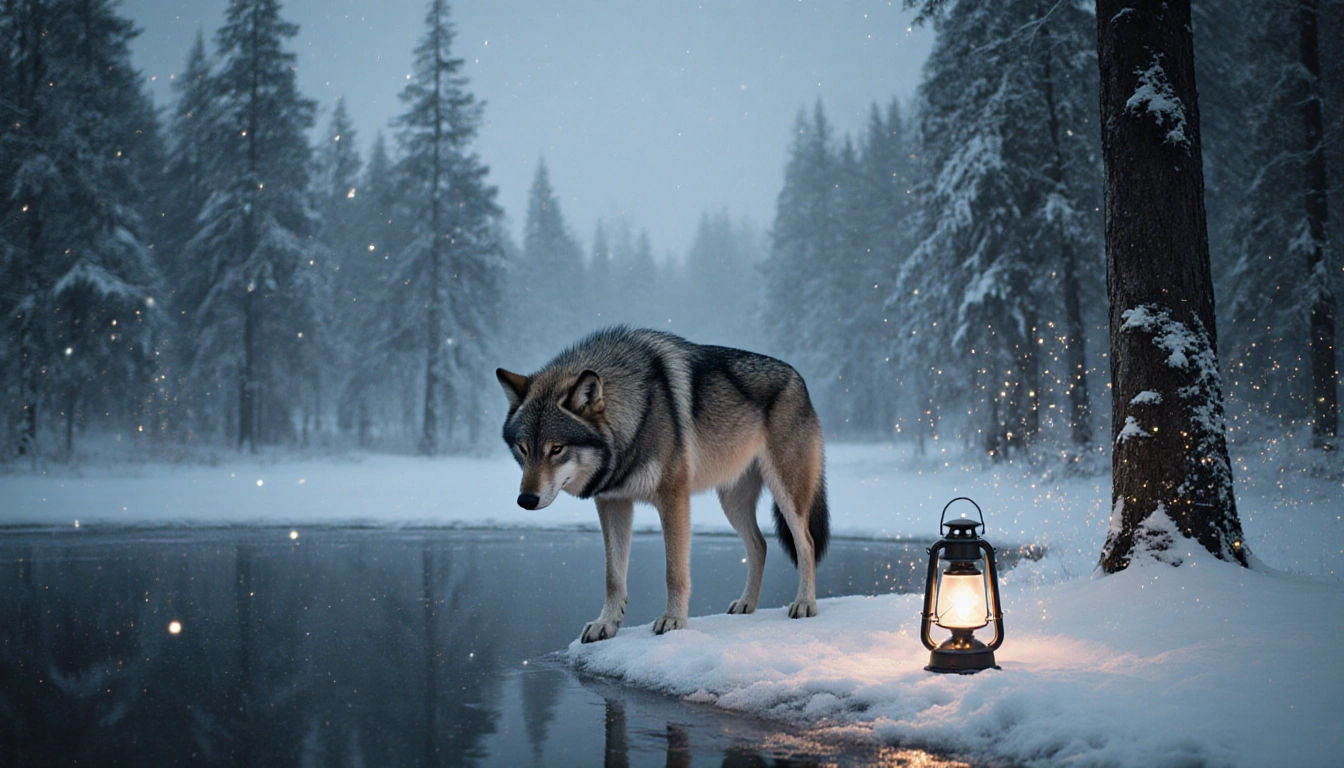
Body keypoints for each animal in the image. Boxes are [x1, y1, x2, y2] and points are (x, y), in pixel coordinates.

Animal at [496, 326, 829, 643]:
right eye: (523, 449)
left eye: (556, 449)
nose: (526, 500)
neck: (633, 421)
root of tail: (798, 378)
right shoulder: (612, 502)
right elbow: (613, 575)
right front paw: (606, 624)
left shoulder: (673, 498)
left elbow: (674, 571)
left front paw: (673, 620)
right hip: (732, 503)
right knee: (760, 544)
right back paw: (747, 603)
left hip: (787, 494)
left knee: (806, 542)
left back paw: (805, 604)